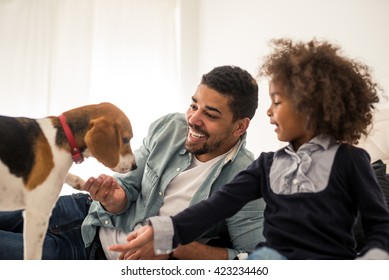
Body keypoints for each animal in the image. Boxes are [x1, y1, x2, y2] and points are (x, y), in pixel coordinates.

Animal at [0, 101, 136, 260]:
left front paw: (82, 182)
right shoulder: (38, 213)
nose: (135, 166)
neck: (64, 136)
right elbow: (33, 256)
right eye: (126, 139)